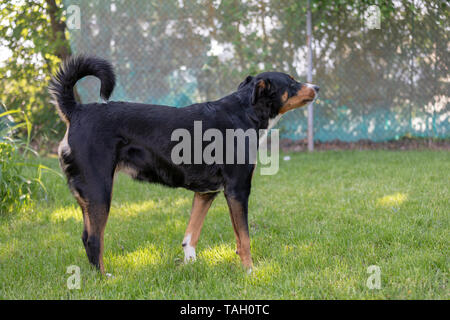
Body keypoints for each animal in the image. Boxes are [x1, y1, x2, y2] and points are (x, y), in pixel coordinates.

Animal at [49, 56, 318, 274]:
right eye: (291, 83)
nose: (316, 87)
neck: (244, 113)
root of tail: (77, 111)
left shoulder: (206, 192)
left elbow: (191, 235)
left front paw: (191, 265)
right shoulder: (238, 190)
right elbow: (244, 239)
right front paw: (250, 271)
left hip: (89, 196)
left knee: (86, 237)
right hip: (100, 191)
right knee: (93, 239)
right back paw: (105, 278)